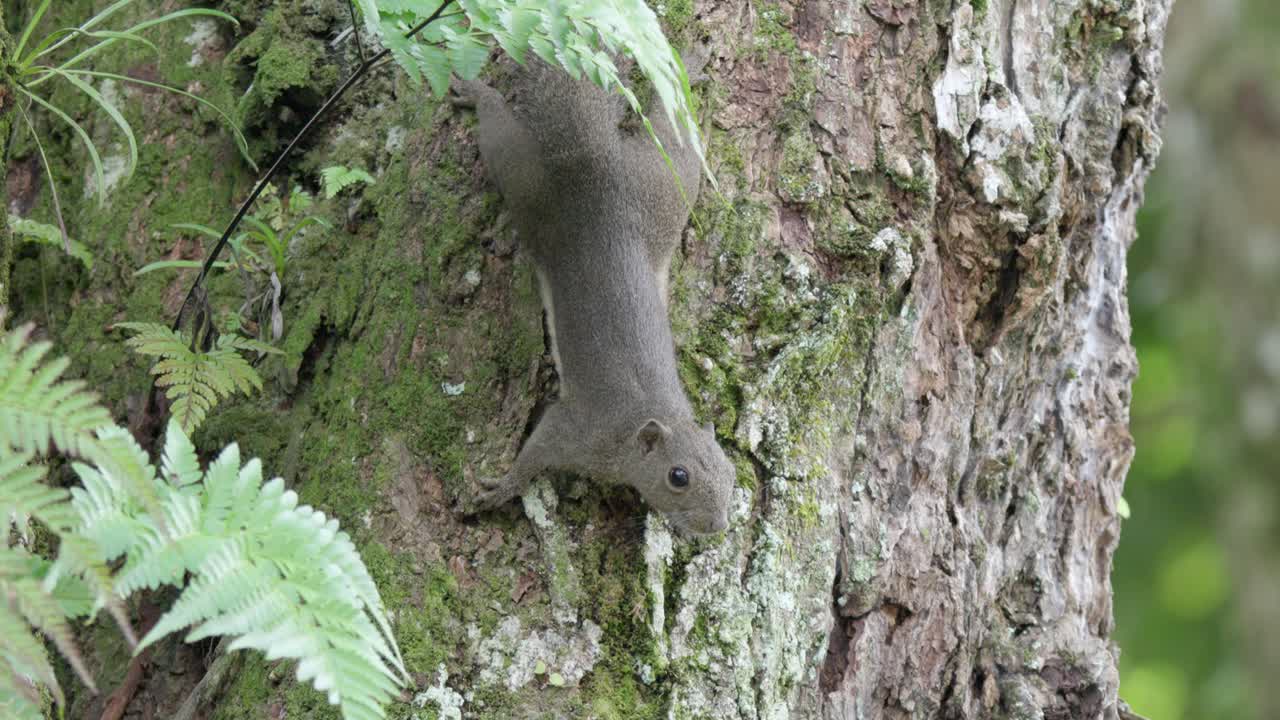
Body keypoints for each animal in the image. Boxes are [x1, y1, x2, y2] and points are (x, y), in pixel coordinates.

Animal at [452, 58, 733, 536]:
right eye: (678, 476)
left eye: (731, 472)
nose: (716, 525)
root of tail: (594, 168)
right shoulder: (580, 432)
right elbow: (537, 451)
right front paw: (502, 488)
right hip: (530, 185)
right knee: (499, 134)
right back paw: (478, 94)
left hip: (662, 186)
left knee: (672, 128)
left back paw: (684, 73)